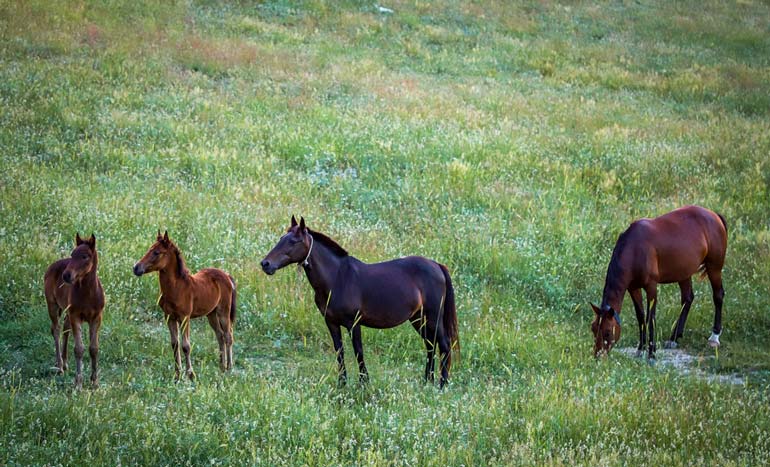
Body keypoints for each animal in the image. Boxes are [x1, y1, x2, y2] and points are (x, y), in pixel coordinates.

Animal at [44, 232, 105, 390]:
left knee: (65, 328)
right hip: (52, 305)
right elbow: (79, 349)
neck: (89, 293)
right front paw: (78, 383)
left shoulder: (97, 317)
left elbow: (94, 348)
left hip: (67, 311)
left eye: (84, 256)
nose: (66, 275)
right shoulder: (76, 316)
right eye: (72, 254)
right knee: (56, 329)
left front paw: (94, 382)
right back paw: (60, 366)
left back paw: (65, 363)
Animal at [132, 230, 236, 380]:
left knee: (228, 336)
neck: (177, 288)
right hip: (211, 314)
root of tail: (227, 275)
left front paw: (190, 374)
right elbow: (174, 344)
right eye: (149, 249)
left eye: (157, 252)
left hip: (223, 312)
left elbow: (186, 346)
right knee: (220, 336)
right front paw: (177, 375)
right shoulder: (169, 317)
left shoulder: (185, 318)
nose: (136, 268)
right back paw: (222, 367)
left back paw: (229, 368)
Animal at [260, 216, 460, 388]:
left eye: (294, 241)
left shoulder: (353, 323)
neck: (337, 278)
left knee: (444, 345)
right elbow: (339, 352)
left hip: (433, 318)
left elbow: (358, 352)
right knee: (430, 346)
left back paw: (442, 385)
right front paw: (342, 384)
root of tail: (437, 265)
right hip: (418, 319)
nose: (265, 264)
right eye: (281, 238)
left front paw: (364, 384)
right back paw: (427, 381)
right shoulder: (331, 323)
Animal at [588, 204, 728, 358]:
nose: (598, 355)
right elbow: (641, 316)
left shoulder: (651, 286)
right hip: (684, 272)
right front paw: (641, 348)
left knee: (718, 295)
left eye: (607, 332)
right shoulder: (633, 288)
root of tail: (714, 215)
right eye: (593, 328)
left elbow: (651, 318)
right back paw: (674, 338)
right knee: (688, 298)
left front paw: (651, 354)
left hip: (714, 267)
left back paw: (714, 337)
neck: (634, 249)